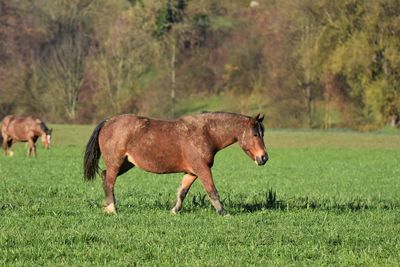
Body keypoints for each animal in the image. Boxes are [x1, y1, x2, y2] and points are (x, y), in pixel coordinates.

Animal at [82, 112, 268, 216]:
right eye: (255, 134)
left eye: (262, 133)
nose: (264, 157)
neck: (206, 133)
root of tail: (108, 122)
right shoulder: (203, 169)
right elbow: (212, 191)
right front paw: (224, 213)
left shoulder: (192, 172)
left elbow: (182, 192)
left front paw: (174, 211)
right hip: (116, 163)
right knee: (109, 182)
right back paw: (112, 209)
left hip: (126, 164)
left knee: (105, 177)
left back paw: (107, 207)